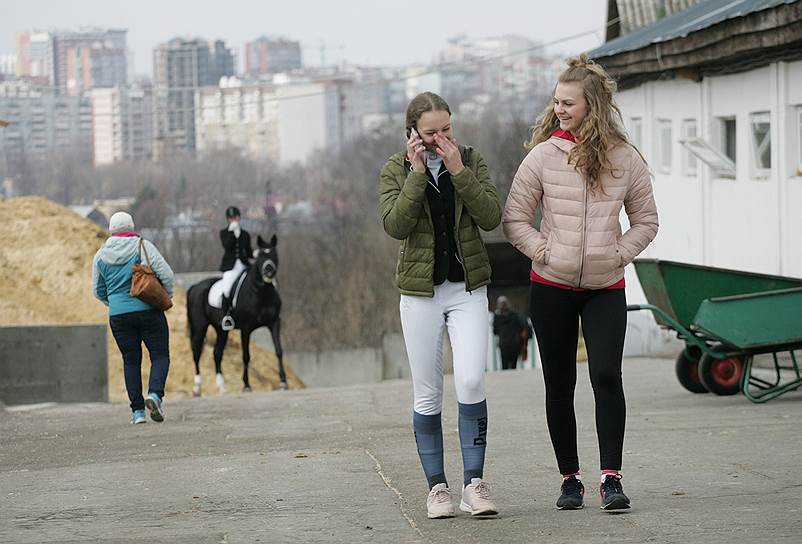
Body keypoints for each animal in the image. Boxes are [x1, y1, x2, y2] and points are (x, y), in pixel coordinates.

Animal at [185, 232, 288, 394]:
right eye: (261, 257)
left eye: (274, 254)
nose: (268, 271)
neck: (261, 293)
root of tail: (195, 286)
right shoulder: (246, 329)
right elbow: (246, 356)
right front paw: (246, 385)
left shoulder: (274, 323)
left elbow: (278, 350)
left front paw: (283, 382)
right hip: (199, 327)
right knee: (197, 352)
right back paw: (197, 387)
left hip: (221, 329)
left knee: (217, 353)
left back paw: (221, 387)